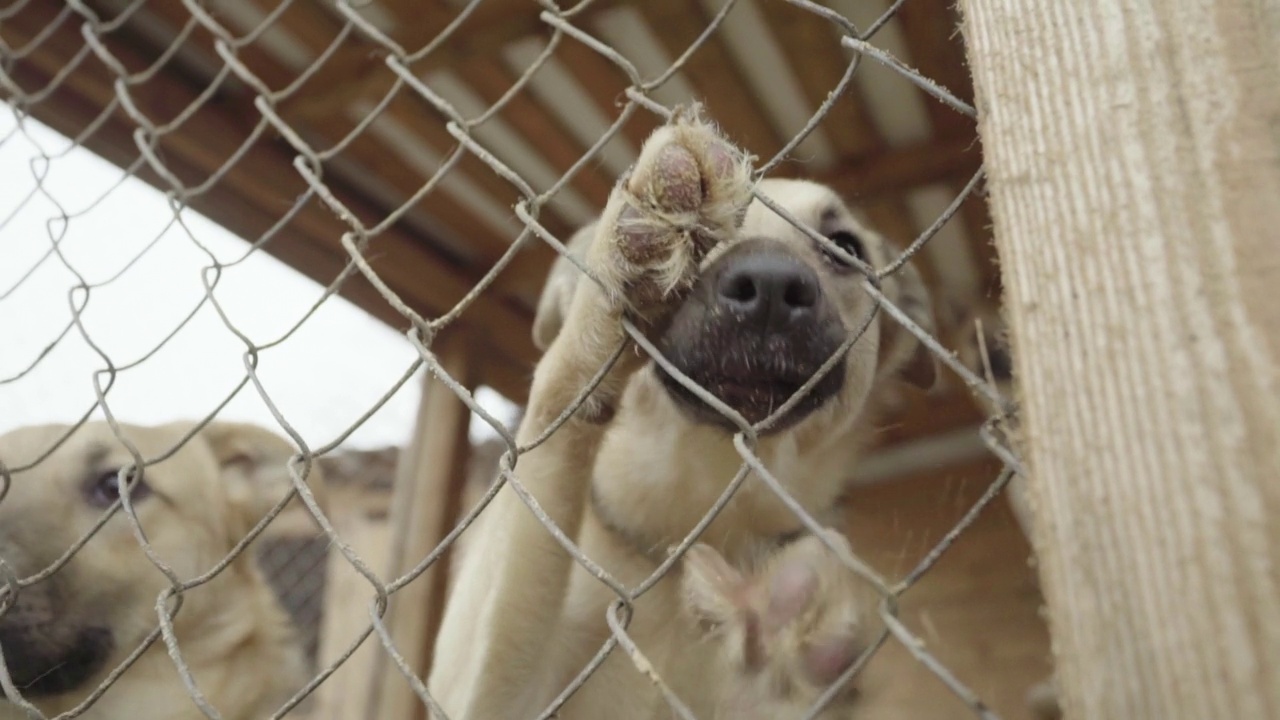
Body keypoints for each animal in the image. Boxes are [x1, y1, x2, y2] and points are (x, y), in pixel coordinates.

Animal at [424, 107, 936, 717]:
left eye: (846, 248)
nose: (769, 285)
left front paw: (794, 623)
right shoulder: (485, 694)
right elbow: (556, 408)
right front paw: (637, 245)